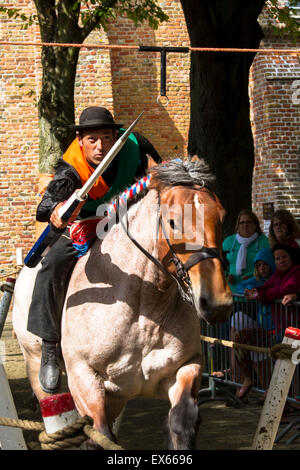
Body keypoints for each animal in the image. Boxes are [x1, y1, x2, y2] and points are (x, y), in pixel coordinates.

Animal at [11, 160, 232, 450]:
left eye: (221, 217)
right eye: (172, 221)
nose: (217, 303)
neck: (144, 309)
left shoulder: (185, 367)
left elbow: (182, 423)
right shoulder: (85, 379)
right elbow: (101, 435)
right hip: (37, 364)